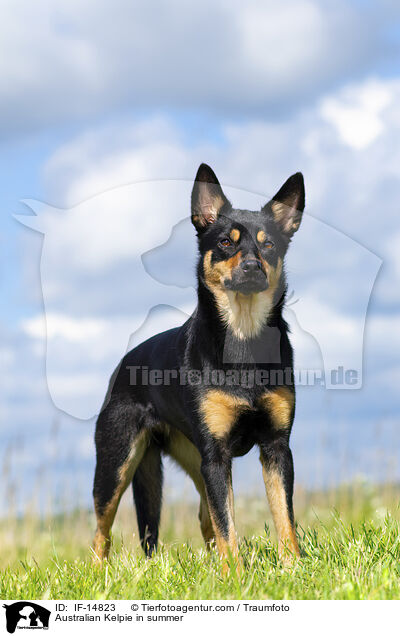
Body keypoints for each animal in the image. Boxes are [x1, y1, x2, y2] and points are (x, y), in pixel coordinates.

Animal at [92, 163, 304, 568]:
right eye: (225, 242)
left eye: (268, 244)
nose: (252, 266)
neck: (243, 336)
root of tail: (124, 364)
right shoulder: (216, 456)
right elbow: (228, 524)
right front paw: (236, 574)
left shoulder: (276, 448)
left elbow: (283, 518)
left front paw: (292, 568)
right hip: (117, 461)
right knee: (101, 530)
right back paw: (99, 574)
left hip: (193, 459)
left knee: (206, 518)